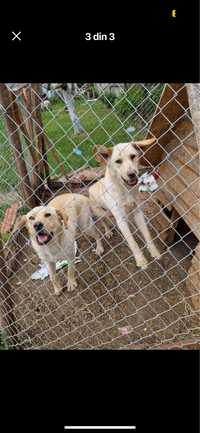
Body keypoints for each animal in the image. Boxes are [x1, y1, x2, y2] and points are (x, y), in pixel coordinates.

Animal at [88, 138, 159, 268]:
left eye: (133, 156)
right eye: (118, 161)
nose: (132, 174)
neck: (126, 190)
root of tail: (91, 188)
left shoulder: (138, 212)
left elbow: (147, 235)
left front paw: (154, 252)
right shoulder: (121, 220)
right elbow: (132, 243)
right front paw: (140, 260)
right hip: (100, 212)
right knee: (102, 221)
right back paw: (104, 238)